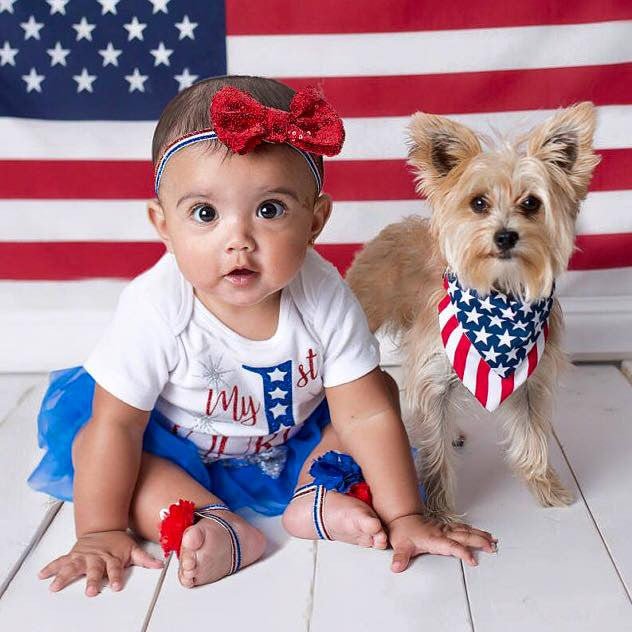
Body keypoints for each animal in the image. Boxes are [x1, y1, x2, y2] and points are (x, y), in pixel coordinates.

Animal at [348, 102, 600, 520]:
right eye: (478, 203)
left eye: (531, 203)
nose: (505, 235)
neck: (500, 298)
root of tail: (397, 226)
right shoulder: (433, 378)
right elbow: (433, 449)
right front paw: (436, 513)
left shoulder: (531, 381)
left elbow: (533, 438)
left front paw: (545, 487)